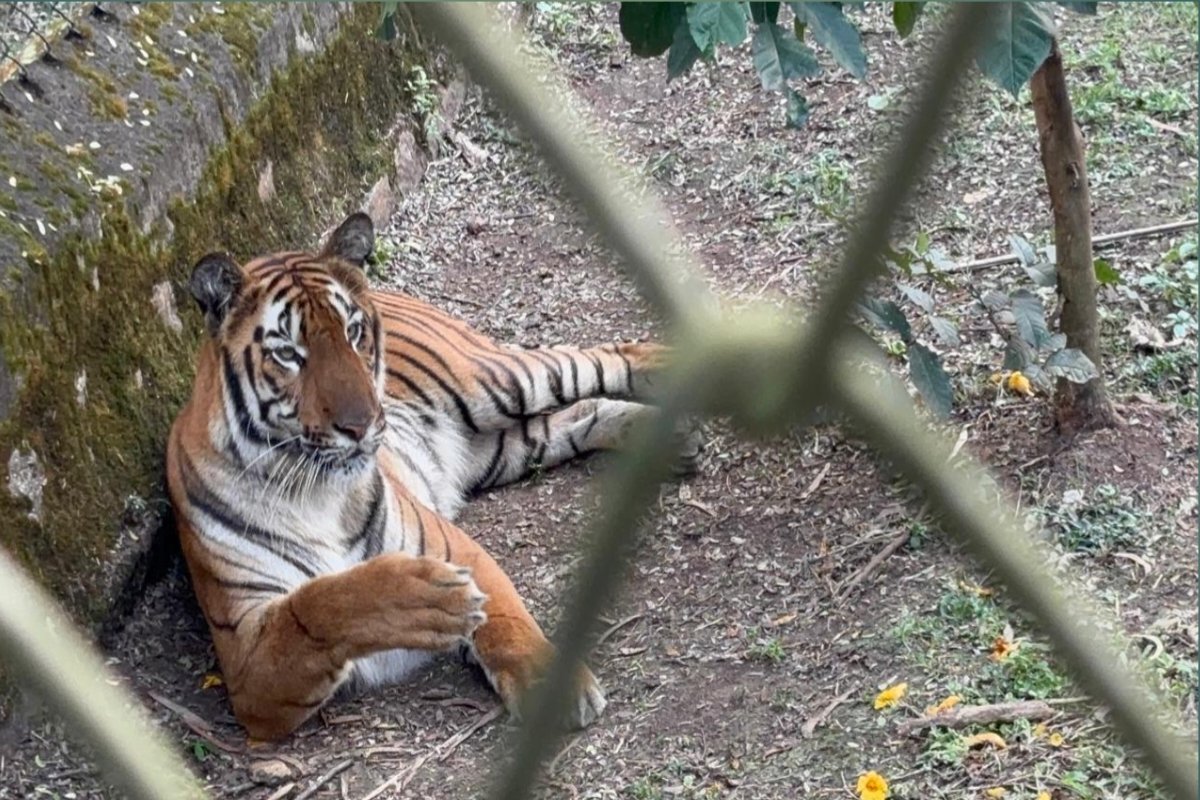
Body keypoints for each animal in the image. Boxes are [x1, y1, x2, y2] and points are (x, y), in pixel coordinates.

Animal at [166, 212, 699, 740]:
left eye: (353, 332)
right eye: (288, 354)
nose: (362, 424)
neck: (316, 491)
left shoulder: (451, 543)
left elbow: (506, 615)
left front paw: (550, 686)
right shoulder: (245, 661)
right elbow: (320, 604)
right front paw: (425, 601)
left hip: (498, 381)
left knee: (594, 357)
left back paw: (673, 366)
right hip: (504, 449)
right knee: (573, 416)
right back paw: (670, 439)